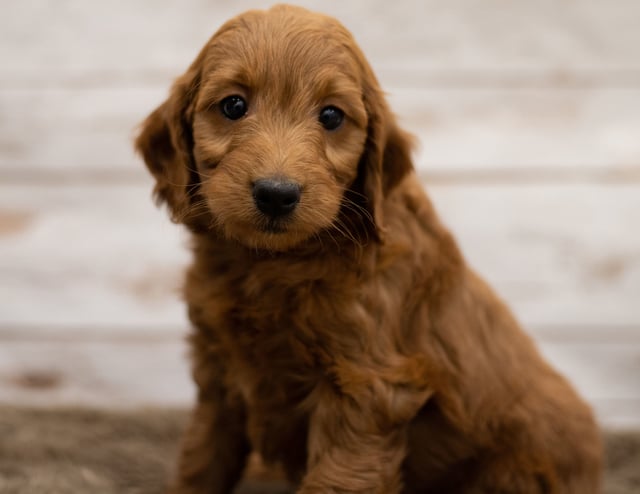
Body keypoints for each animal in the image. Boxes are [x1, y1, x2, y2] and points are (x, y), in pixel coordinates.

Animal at [135, 4, 600, 494]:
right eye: (233, 105)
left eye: (332, 116)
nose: (277, 194)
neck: (272, 262)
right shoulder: (218, 369)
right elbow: (201, 457)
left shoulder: (367, 386)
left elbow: (334, 477)